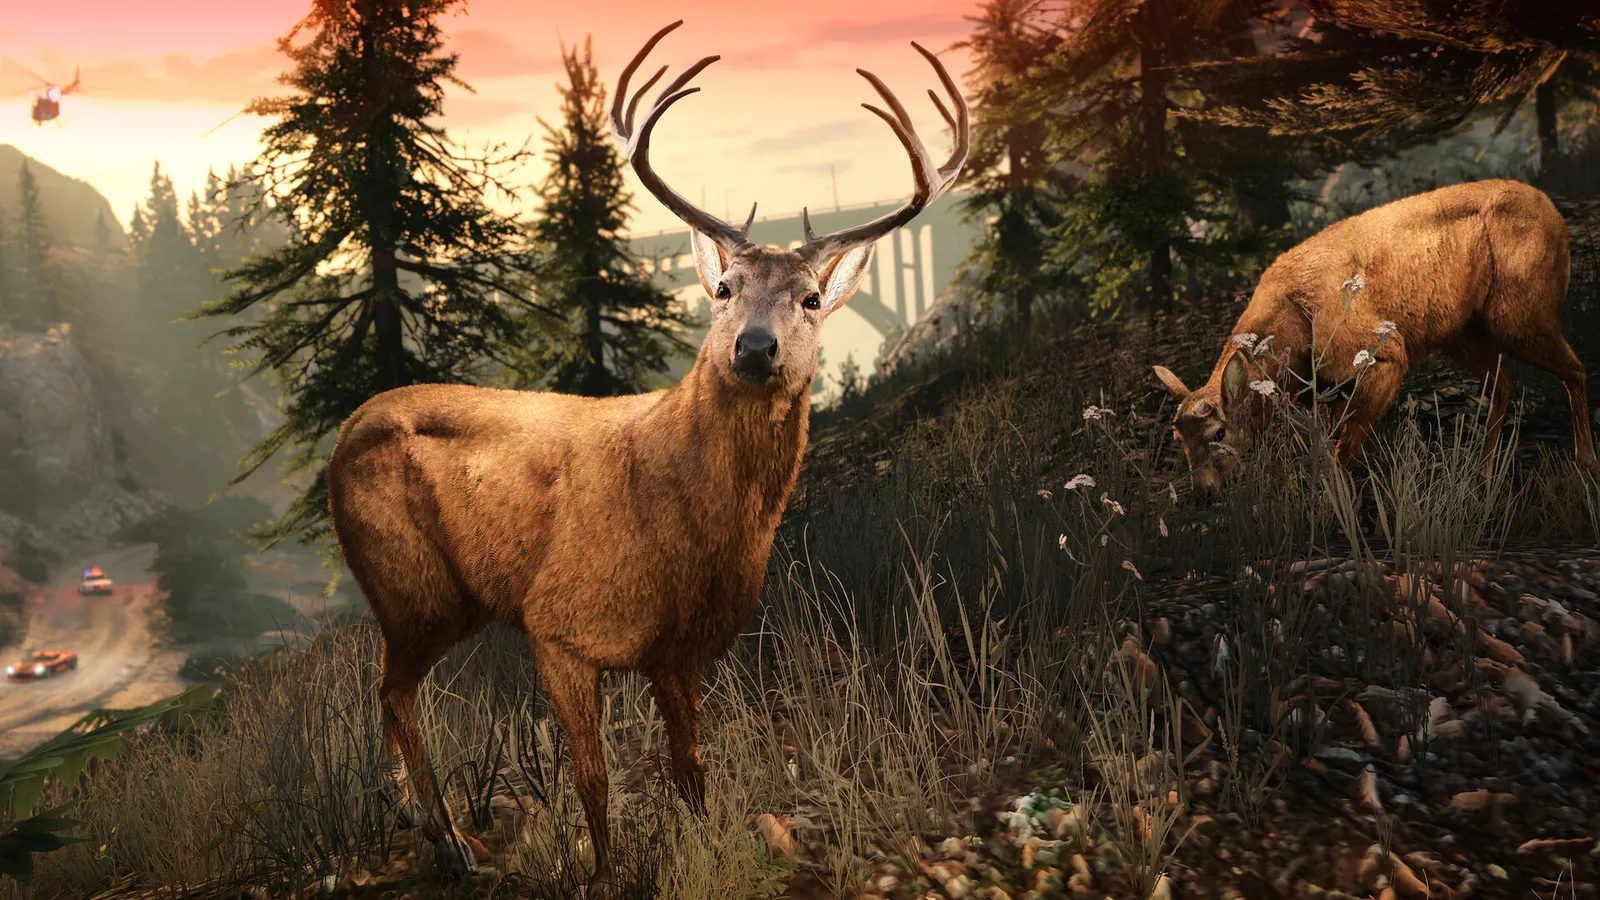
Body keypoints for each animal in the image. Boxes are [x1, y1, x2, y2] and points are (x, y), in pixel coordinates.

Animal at [323, 19, 968, 893]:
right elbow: (593, 776)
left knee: (389, 691)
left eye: (809, 298)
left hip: (434, 600)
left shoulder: (682, 652)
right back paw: (449, 840)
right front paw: (602, 874)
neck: (686, 522)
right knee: (391, 691)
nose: (754, 348)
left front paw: (704, 849)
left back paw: (425, 825)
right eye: (724, 288)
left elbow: (691, 770)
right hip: (411, 585)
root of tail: (343, 434)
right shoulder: (558, 622)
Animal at [1152, 179, 1598, 499]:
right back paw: (1483, 473)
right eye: (1178, 438)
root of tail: (1554, 213)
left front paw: (1331, 509)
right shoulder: (1328, 391)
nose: (1203, 494)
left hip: (1521, 313)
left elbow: (1342, 453)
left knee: (1575, 370)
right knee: (1505, 383)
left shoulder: (1382, 358)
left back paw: (1585, 462)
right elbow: (1329, 447)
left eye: (1219, 433)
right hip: (1463, 333)